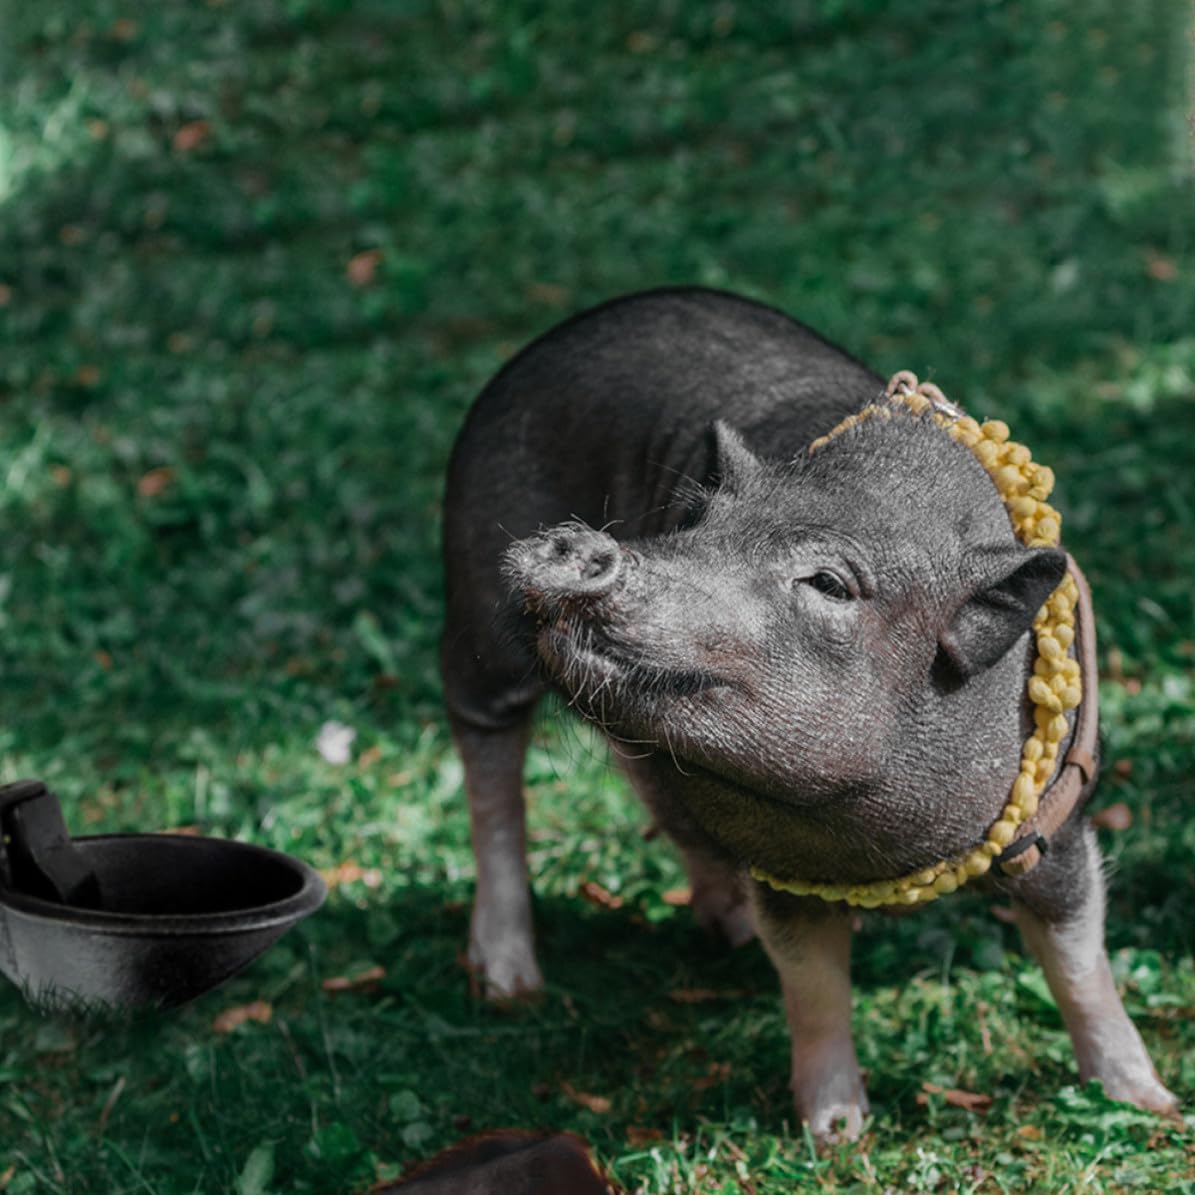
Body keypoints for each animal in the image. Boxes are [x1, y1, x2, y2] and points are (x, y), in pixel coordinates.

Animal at [439, 287, 1177, 1137]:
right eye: (693, 524)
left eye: (827, 582)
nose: (582, 543)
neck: (880, 854)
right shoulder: (785, 870)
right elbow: (814, 988)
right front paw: (835, 1135)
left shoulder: (1055, 817)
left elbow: (1079, 962)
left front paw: (1149, 1102)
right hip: (475, 615)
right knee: (491, 770)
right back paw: (507, 984)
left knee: (647, 780)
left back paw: (721, 930)